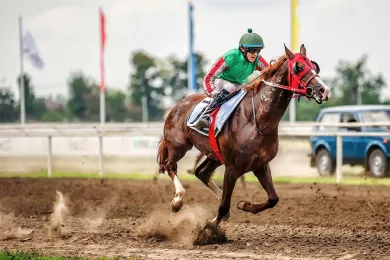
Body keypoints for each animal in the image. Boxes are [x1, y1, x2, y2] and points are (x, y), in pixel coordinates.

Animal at [155, 44, 330, 228]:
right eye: (299, 67)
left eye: (313, 65)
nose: (323, 90)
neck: (257, 120)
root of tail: (177, 105)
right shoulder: (232, 167)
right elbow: (224, 204)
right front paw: (210, 227)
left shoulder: (260, 165)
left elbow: (273, 199)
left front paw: (245, 205)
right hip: (179, 145)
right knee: (170, 165)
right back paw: (177, 201)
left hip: (215, 155)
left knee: (201, 172)